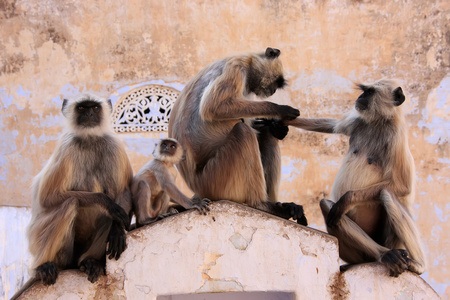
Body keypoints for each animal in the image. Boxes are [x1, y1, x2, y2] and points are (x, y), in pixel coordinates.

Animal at [17, 94, 132, 296]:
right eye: (81, 108)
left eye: (94, 107)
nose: (89, 114)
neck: (90, 139)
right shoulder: (67, 147)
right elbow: (47, 197)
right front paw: (106, 202)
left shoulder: (114, 145)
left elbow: (124, 191)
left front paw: (118, 230)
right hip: (41, 241)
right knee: (70, 203)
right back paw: (43, 266)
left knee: (108, 215)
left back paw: (89, 261)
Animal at [167, 47, 308, 225]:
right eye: (275, 83)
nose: (274, 91)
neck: (248, 62)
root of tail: (197, 189)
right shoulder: (236, 68)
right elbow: (213, 107)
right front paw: (281, 110)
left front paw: (275, 127)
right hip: (214, 179)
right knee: (243, 131)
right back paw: (262, 205)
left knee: (264, 136)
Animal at [288, 79, 426, 276]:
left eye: (369, 92)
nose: (360, 97)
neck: (380, 122)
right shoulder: (359, 121)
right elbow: (331, 125)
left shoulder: (396, 137)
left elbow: (402, 186)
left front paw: (348, 199)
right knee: (327, 205)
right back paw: (385, 256)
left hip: (392, 241)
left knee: (386, 194)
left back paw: (417, 264)